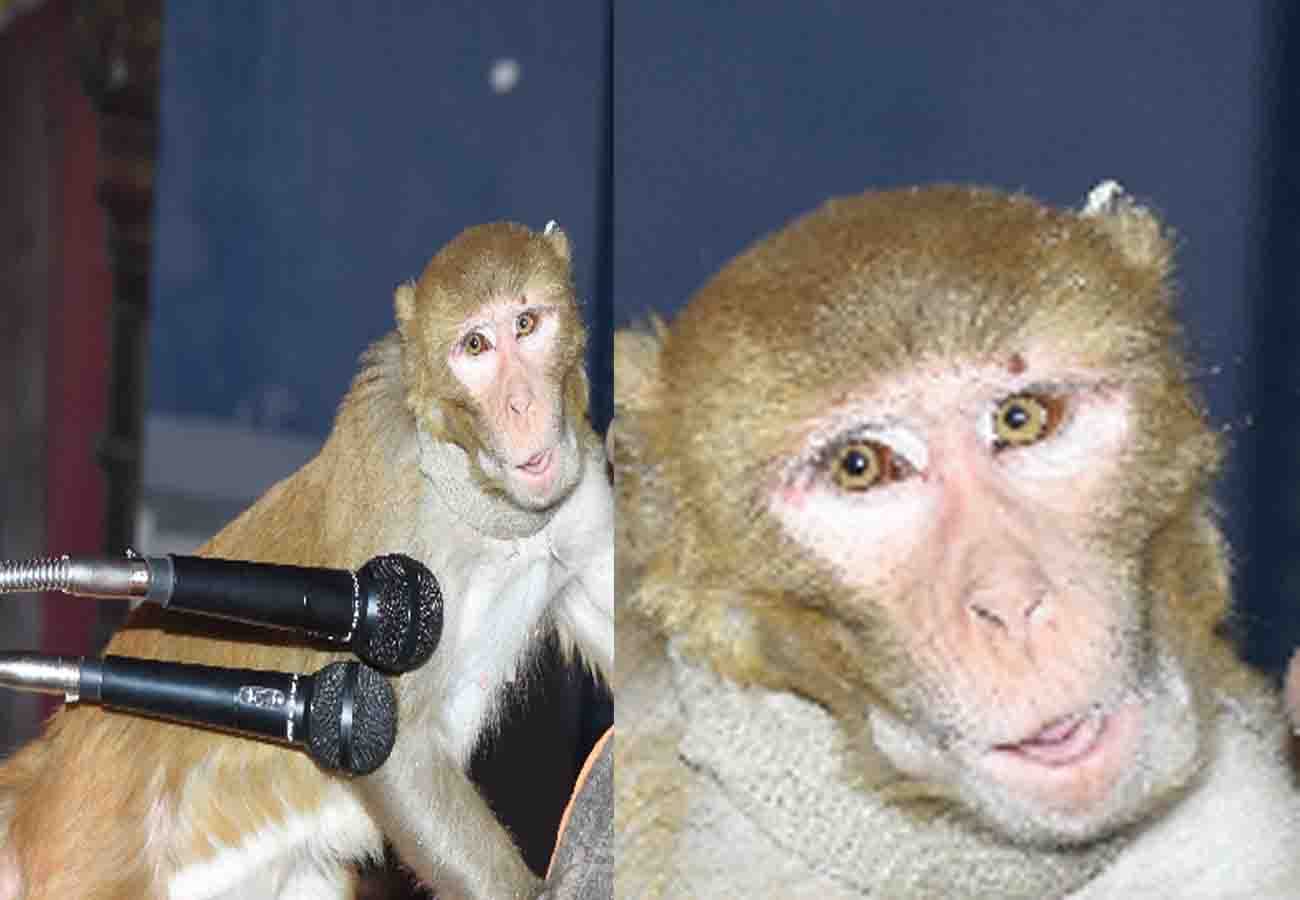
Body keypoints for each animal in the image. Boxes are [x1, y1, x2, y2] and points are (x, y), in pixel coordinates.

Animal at [0, 221, 612, 900]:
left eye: (527, 324)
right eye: (475, 345)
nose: (523, 405)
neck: (477, 496)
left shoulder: (579, 490)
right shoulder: (396, 518)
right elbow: (392, 739)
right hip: (91, 864)